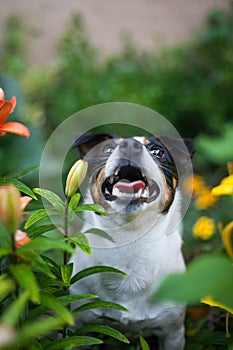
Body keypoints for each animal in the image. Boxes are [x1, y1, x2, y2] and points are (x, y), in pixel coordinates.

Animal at [70, 133, 194, 348]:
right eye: (108, 150)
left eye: (157, 152)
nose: (130, 145)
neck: (131, 239)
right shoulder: (81, 326)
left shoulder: (172, 332)